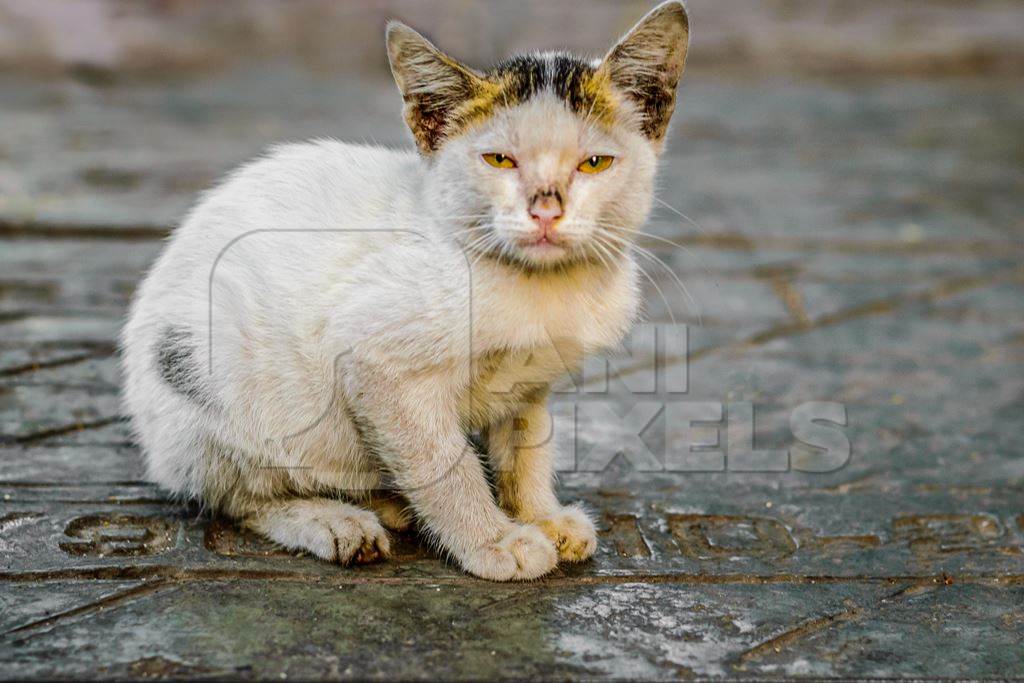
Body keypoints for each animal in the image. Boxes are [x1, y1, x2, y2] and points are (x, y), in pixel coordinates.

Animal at [123, 1, 692, 581]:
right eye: (500, 160)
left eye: (594, 163)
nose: (545, 210)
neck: (536, 287)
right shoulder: (375, 361)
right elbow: (444, 463)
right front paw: (494, 540)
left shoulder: (530, 382)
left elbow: (526, 445)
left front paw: (539, 514)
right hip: (217, 396)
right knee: (238, 498)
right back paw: (335, 521)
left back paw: (388, 500)